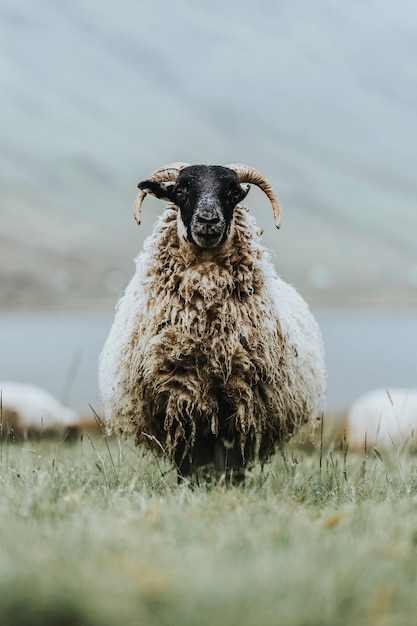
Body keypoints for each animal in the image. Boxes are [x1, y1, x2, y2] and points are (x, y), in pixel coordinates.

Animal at [98, 162, 324, 482]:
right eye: (181, 190)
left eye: (232, 192)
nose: (208, 219)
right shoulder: (177, 401)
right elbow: (185, 458)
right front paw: (188, 486)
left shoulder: (240, 403)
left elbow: (232, 458)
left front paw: (230, 486)